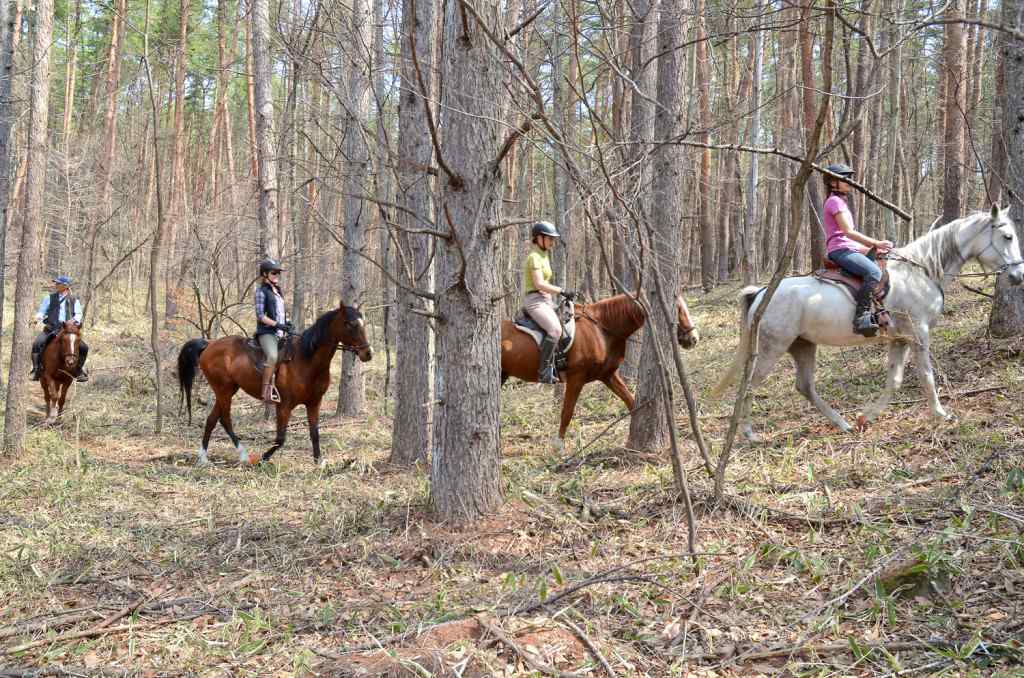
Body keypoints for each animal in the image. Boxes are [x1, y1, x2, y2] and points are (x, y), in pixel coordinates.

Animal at [177, 303, 373, 466]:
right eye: (350, 324)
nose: (368, 353)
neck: (306, 360)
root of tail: (209, 344)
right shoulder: (284, 406)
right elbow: (280, 439)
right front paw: (262, 459)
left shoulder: (314, 403)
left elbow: (314, 433)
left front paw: (319, 461)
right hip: (223, 390)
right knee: (225, 419)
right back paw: (244, 456)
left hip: (228, 390)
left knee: (212, 419)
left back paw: (203, 457)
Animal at [500, 293, 700, 440]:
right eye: (678, 310)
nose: (693, 338)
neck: (601, 329)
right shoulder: (576, 378)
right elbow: (567, 412)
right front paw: (558, 447)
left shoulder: (607, 375)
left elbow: (630, 401)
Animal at [713, 205, 1024, 441]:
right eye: (1007, 236)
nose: (1018, 276)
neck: (921, 271)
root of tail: (761, 292)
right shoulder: (918, 334)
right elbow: (926, 376)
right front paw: (941, 415)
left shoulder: (901, 339)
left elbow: (895, 381)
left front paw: (866, 417)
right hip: (773, 347)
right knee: (750, 385)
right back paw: (749, 433)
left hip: (802, 346)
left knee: (805, 386)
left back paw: (842, 423)